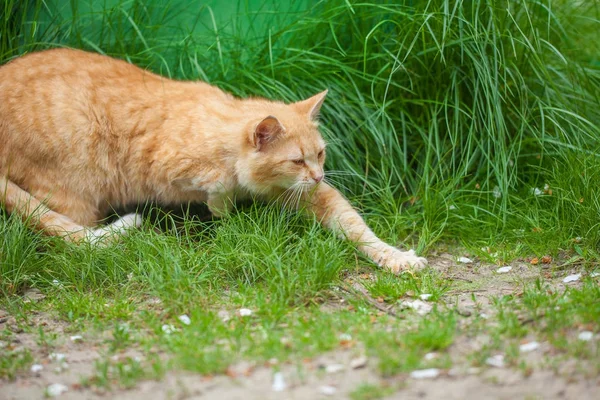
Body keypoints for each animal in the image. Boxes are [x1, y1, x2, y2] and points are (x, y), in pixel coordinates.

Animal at [2, 47, 428, 272]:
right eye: (297, 161)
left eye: (320, 154)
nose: (320, 175)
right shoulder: (163, 165)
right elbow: (217, 185)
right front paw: (224, 207)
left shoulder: (310, 196)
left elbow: (357, 228)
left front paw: (395, 258)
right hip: (77, 193)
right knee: (68, 242)